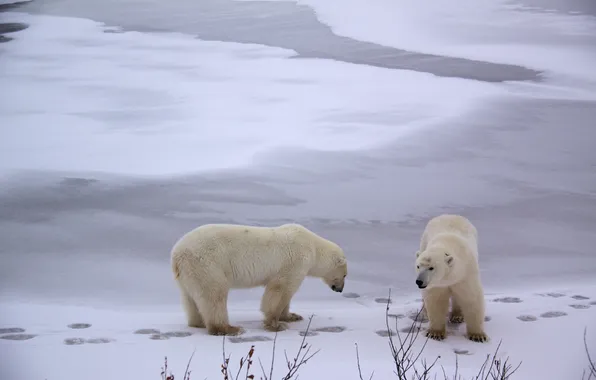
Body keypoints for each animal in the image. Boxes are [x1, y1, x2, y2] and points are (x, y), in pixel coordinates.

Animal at [170, 223, 346, 336]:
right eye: (344, 275)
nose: (340, 289)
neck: (314, 247)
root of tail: (177, 254)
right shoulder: (295, 261)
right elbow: (280, 289)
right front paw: (277, 324)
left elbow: (286, 294)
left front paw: (292, 316)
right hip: (207, 264)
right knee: (214, 294)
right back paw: (229, 328)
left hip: (189, 273)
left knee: (190, 297)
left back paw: (198, 322)